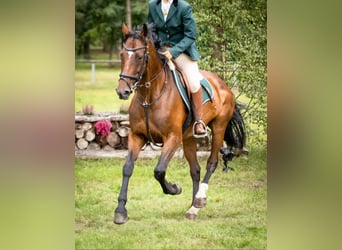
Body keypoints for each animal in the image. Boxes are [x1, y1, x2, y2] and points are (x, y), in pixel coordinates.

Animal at [114, 22, 246, 224]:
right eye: (122, 54)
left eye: (139, 57)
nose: (122, 91)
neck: (150, 96)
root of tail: (223, 84)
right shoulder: (136, 136)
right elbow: (127, 168)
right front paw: (120, 210)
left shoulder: (173, 138)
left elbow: (159, 170)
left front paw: (174, 188)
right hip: (189, 137)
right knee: (195, 169)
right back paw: (192, 208)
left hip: (219, 127)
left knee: (211, 163)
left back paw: (199, 200)